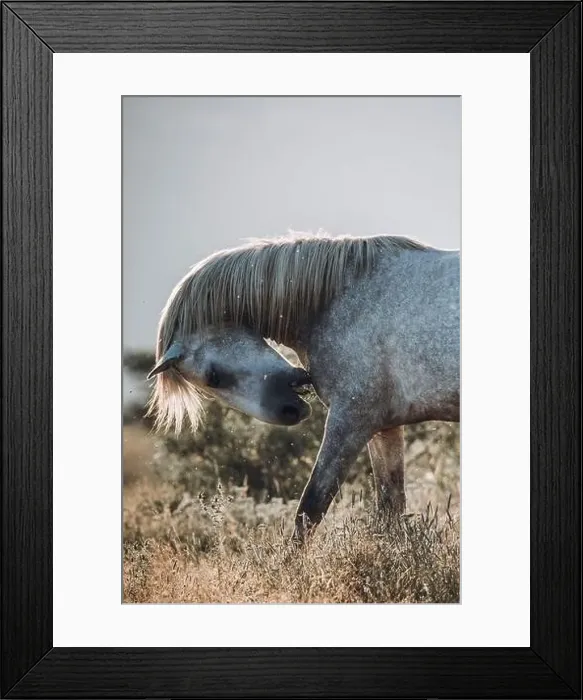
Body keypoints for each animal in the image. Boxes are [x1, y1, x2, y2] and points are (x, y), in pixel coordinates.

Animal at [147, 232, 460, 541]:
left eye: (213, 376)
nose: (289, 411)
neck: (339, 297)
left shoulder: (351, 420)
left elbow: (310, 508)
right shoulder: (384, 428)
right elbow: (390, 507)